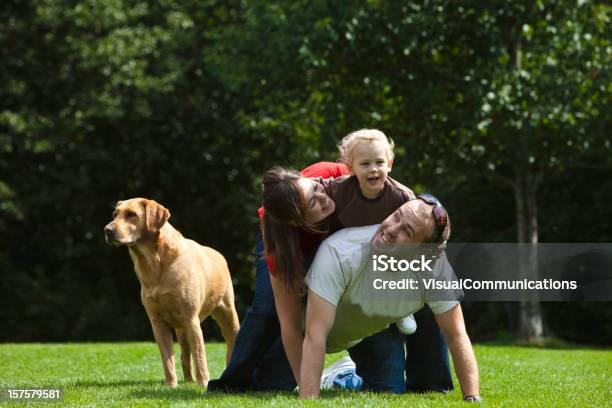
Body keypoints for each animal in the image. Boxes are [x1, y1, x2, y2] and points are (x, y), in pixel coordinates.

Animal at [104, 199, 240, 388]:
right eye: (115, 214)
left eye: (132, 214)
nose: (107, 230)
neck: (154, 263)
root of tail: (219, 254)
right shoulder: (157, 322)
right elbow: (167, 359)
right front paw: (171, 386)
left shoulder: (191, 318)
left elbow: (200, 355)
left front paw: (204, 383)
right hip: (181, 328)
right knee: (184, 355)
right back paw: (188, 380)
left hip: (227, 314)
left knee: (230, 342)